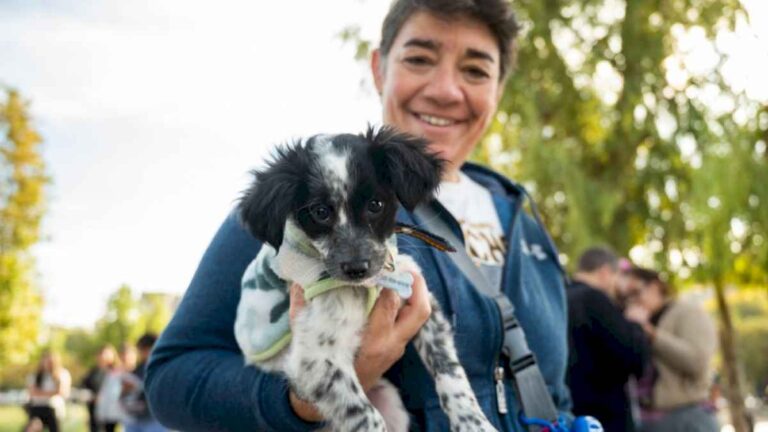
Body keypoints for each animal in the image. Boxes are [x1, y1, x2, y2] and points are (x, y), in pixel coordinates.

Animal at [236, 126, 498, 430]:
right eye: (320, 212)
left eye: (376, 204)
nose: (357, 267)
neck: (366, 287)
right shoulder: (314, 360)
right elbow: (367, 416)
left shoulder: (423, 305)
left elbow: (451, 373)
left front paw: (474, 423)